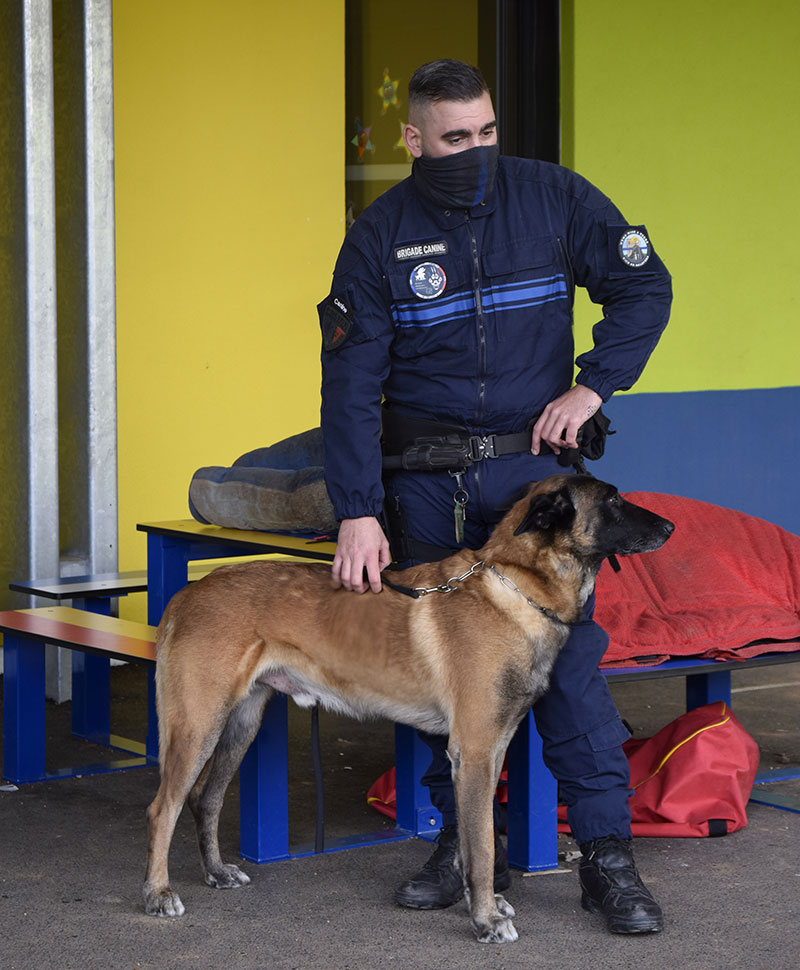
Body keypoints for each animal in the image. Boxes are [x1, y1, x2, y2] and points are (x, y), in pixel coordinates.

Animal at [144, 472, 676, 940]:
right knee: (163, 806)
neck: (516, 586)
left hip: (239, 725)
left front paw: (478, 901)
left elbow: (476, 836)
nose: (671, 527)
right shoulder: (475, 752)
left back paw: (215, 872)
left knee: (205, 798)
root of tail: (188, 593)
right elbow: (482, 843)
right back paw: (157, 892)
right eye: (612, 500)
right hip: (199, 725)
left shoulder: (489, 752)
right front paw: (485, 919)